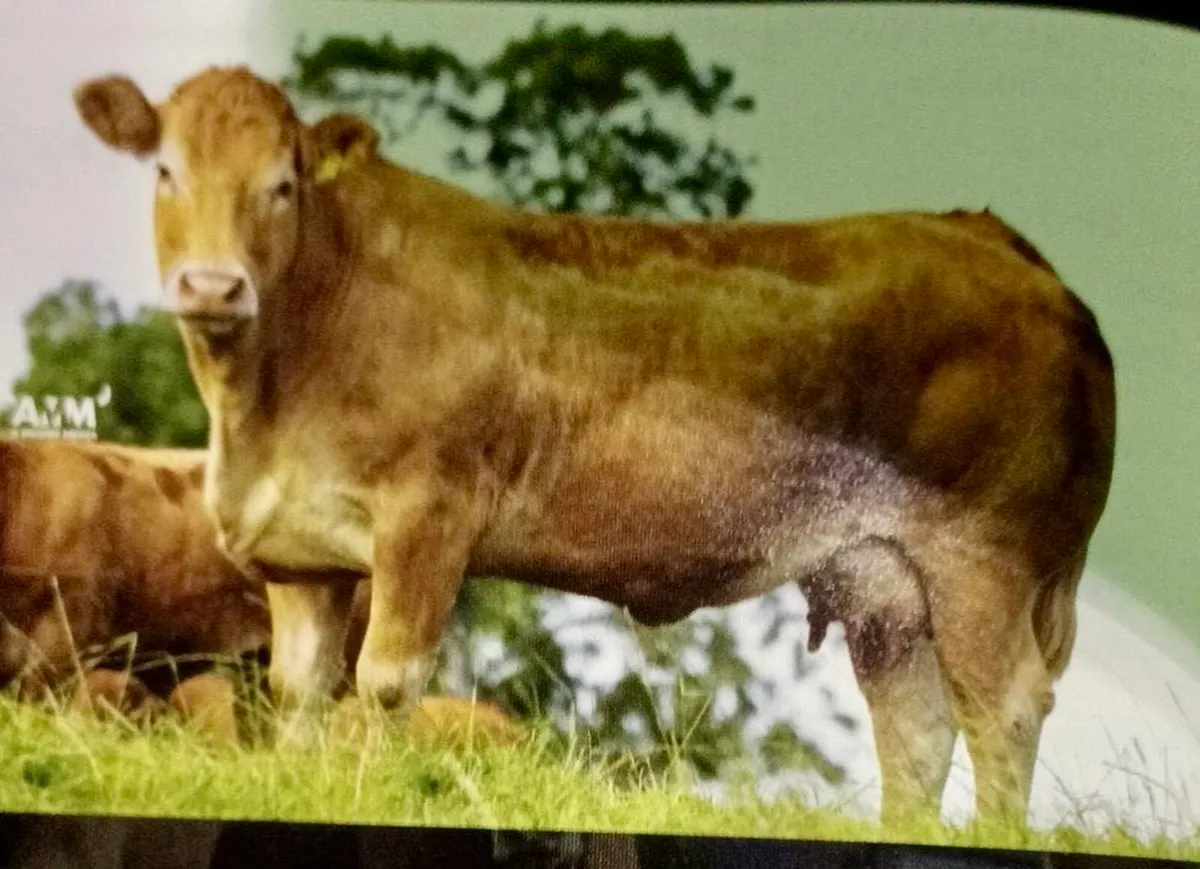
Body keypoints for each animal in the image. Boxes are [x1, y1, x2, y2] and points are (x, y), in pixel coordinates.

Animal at [72, 65, 1116, 828]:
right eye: (166, 172)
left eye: (282, 185)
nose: (213, 285)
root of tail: (1002, 244)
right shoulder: (302, 557)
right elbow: (299, 699)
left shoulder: (426, 518)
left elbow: (383, 687)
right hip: (885, 584)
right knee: (916, 730)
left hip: (986, 556)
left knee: (1003, 708)